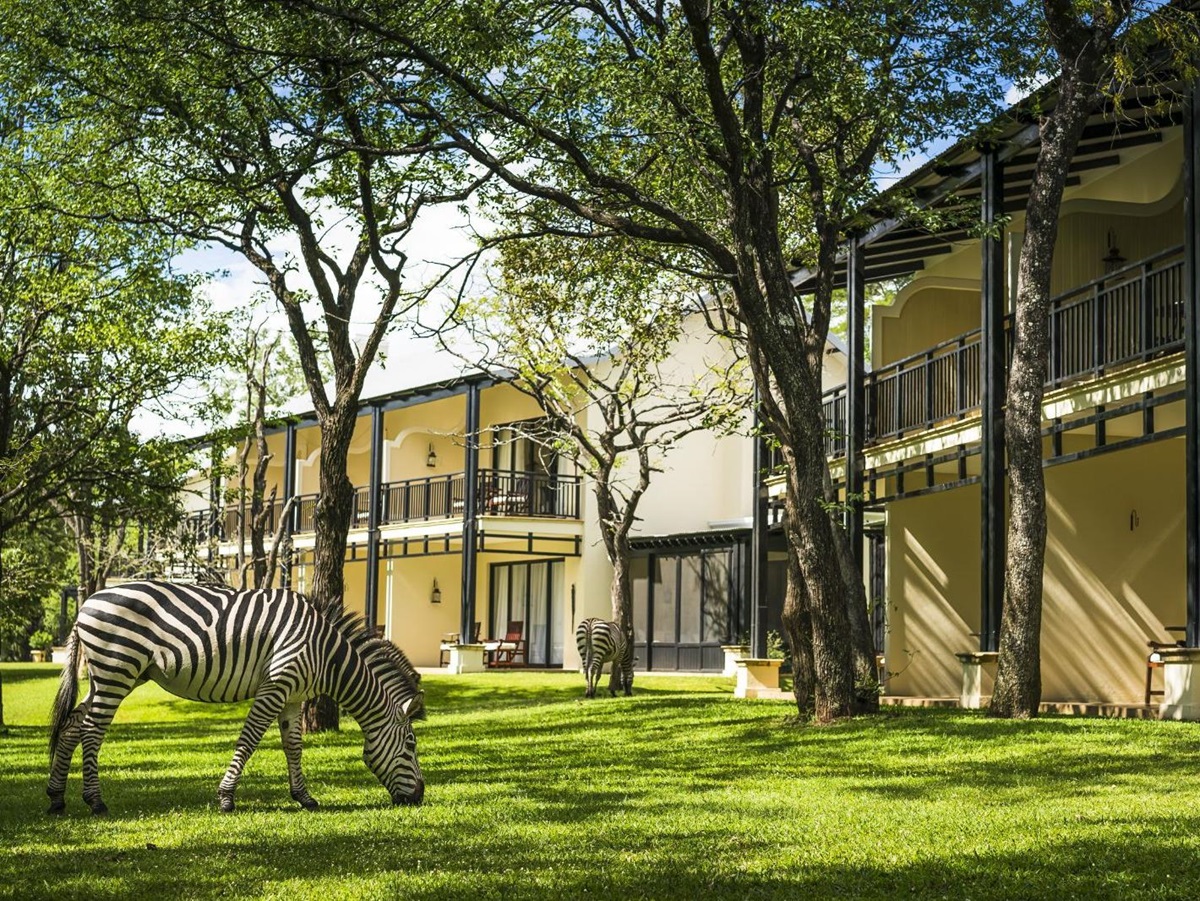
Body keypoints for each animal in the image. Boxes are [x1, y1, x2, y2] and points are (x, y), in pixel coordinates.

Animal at [46, 580, 425, 815]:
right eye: (411, 745)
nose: (420, 797)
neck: (326, 653)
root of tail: (87, 602)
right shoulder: (276, 684)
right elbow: (250, 738)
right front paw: (227, 798)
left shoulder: (293, 696)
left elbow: (293, 746)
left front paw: (304, 797)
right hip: (116, 670)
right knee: (92, 731)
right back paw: (95, 802)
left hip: (112, 676)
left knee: (72, 725)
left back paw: (56, 798)